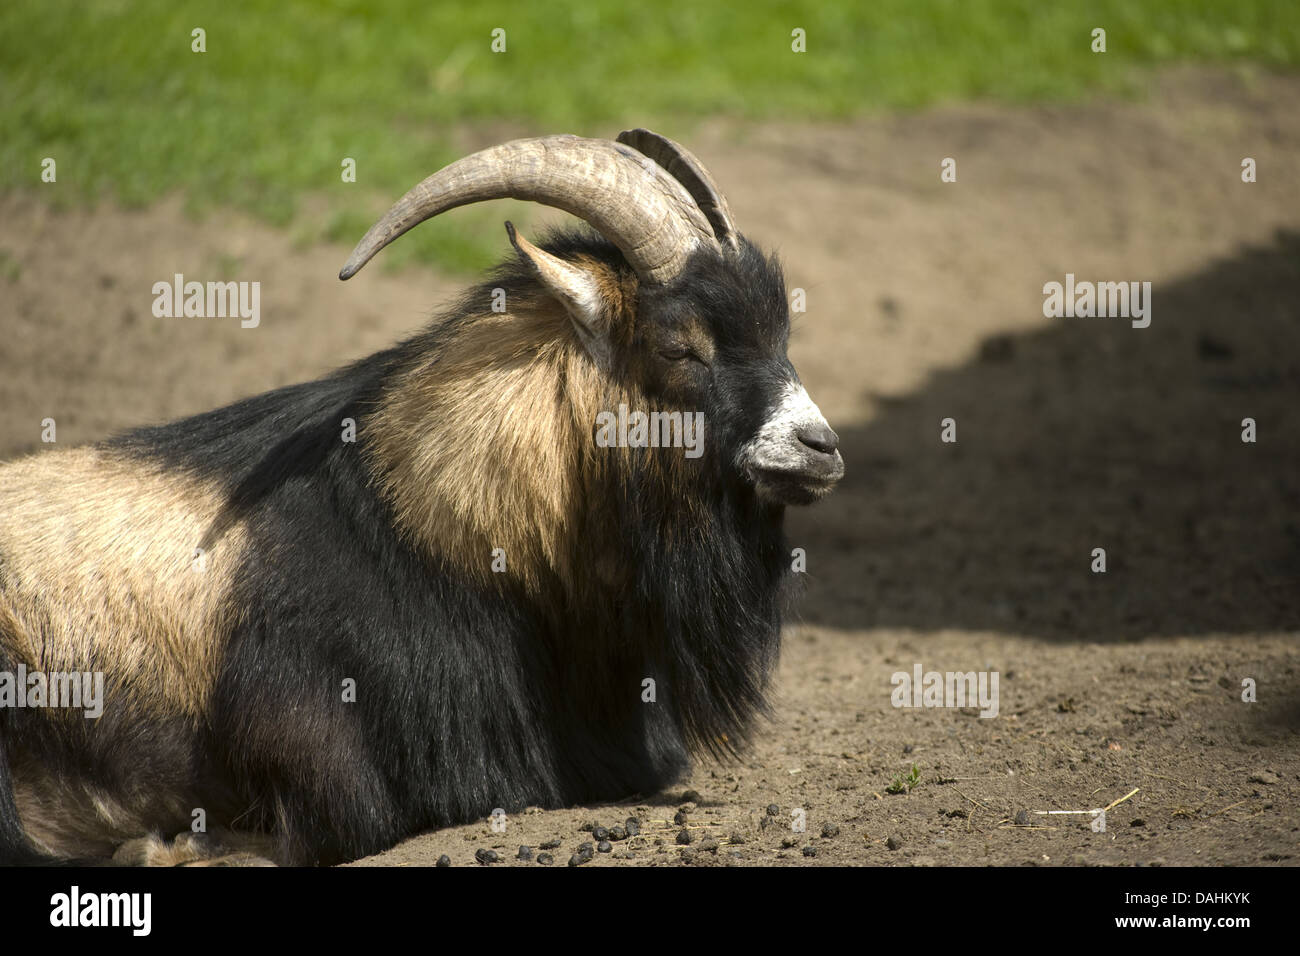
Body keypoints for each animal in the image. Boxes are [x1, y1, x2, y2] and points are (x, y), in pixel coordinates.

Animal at [0, 128, 842, 868]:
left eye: (781, 334)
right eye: (680, 346)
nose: (820, 446)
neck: (424, 527)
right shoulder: (312, 733)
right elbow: (341, 826)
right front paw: (160, 846)